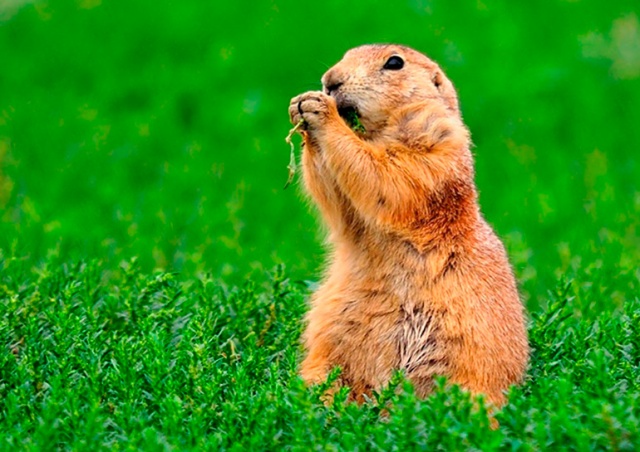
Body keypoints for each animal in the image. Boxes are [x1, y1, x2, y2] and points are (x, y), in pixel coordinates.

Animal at [290, 45, 528, 406]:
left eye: (394, 62)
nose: (330, 80)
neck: (378, 130)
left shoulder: (435, 139)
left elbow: (391, 175)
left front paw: (322, 112)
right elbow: (338, 201)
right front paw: (299, 107)